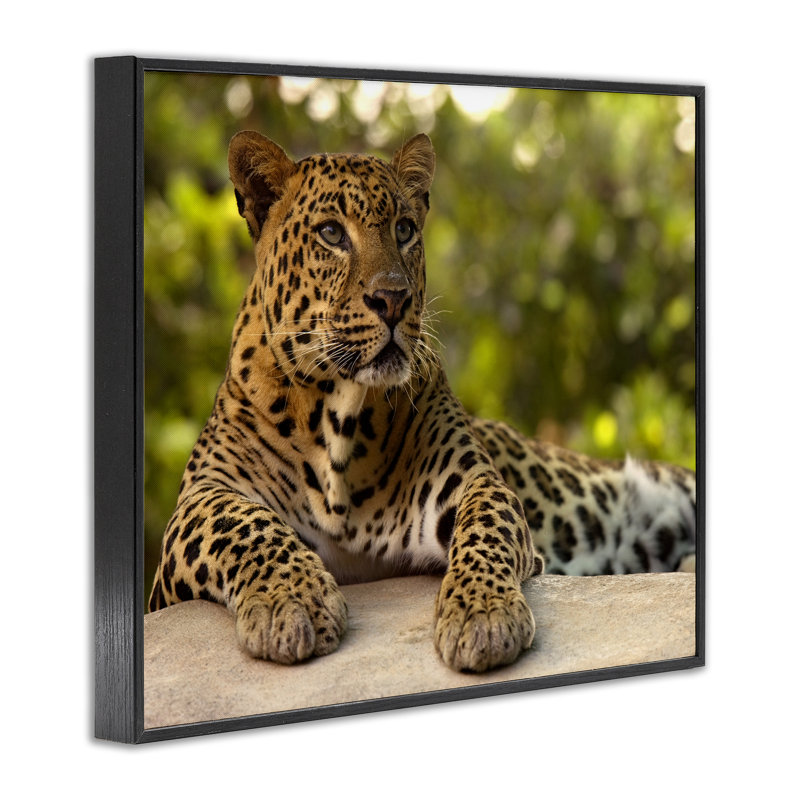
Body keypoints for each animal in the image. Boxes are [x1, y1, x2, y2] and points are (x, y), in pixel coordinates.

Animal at [148, 131, 696, 673]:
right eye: (331, 233)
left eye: (405, 229)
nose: (393, 299)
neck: (338, 416)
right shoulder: (197, 504)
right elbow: (242, 524)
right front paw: (293, 601)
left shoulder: (471, 481)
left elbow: (485, 526)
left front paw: (482, 614)